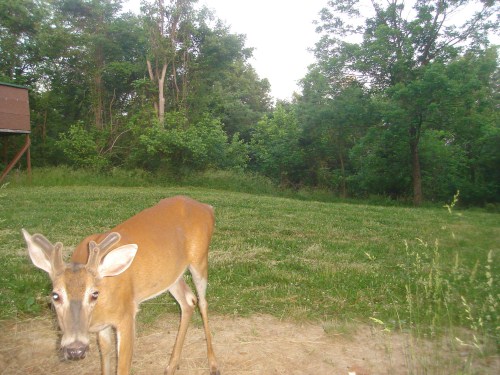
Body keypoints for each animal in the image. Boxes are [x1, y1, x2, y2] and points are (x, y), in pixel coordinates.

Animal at [21, 197, 221, 375]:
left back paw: (213, 365)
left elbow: (123, 366)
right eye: (55, 295)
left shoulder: (126, 314)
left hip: (199, 259)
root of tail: (208, 207)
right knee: (188, 300)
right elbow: (105, 359)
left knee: (202, 302)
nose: (75, 349)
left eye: (94, 294)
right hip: (170, 274)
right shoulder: (103, 326)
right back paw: (171, 366)